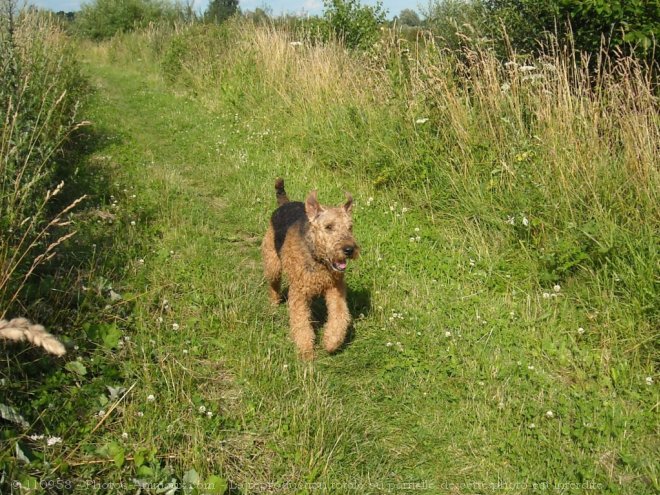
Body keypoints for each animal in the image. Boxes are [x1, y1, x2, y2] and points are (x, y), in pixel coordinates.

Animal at [260, 180, 358, 358]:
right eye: (329, 227)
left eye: (350, 227)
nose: (349, 249)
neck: (317, 259)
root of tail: (285, 203)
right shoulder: (298, 293)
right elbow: (301, 322)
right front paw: (306, 351)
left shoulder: (335, 288)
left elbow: (339, 315)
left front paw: (331, 341)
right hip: (273, 263)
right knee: (273, 285)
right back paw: (274, 304)